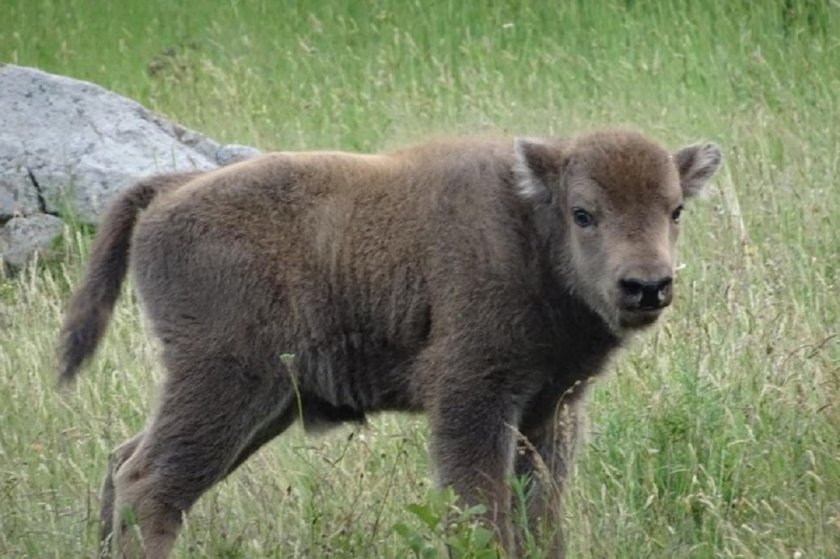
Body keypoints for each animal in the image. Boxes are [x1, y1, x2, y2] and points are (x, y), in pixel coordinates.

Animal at [57, 129, 720, 556]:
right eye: (584, 213)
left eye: (675, 210)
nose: (647, 286)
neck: (529, 228)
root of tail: (172, 189)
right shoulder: (473, 398)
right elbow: (481, 505)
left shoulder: (551, 409)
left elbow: (540, 513)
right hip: (225, 385)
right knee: (149, 484)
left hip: (262, 405)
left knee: (125, 463)